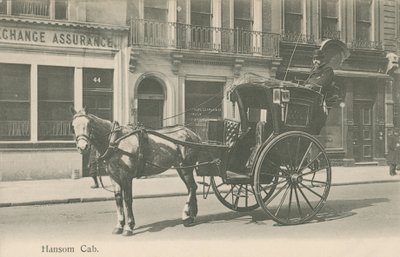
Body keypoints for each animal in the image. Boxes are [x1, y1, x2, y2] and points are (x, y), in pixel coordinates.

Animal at [70, 107, 202, 235]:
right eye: (73, 126)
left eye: (89, 124)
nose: (83, 147)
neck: (116, 141)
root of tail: (193, 134)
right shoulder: (114, 176)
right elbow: (118, 199)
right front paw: (119, 225)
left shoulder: (126, 176)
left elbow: (128, 199)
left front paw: (129, 226)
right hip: (181, 168)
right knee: (191, 188)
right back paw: (191, 216)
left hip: (187, 167)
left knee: (191, 188)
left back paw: (186, 216)